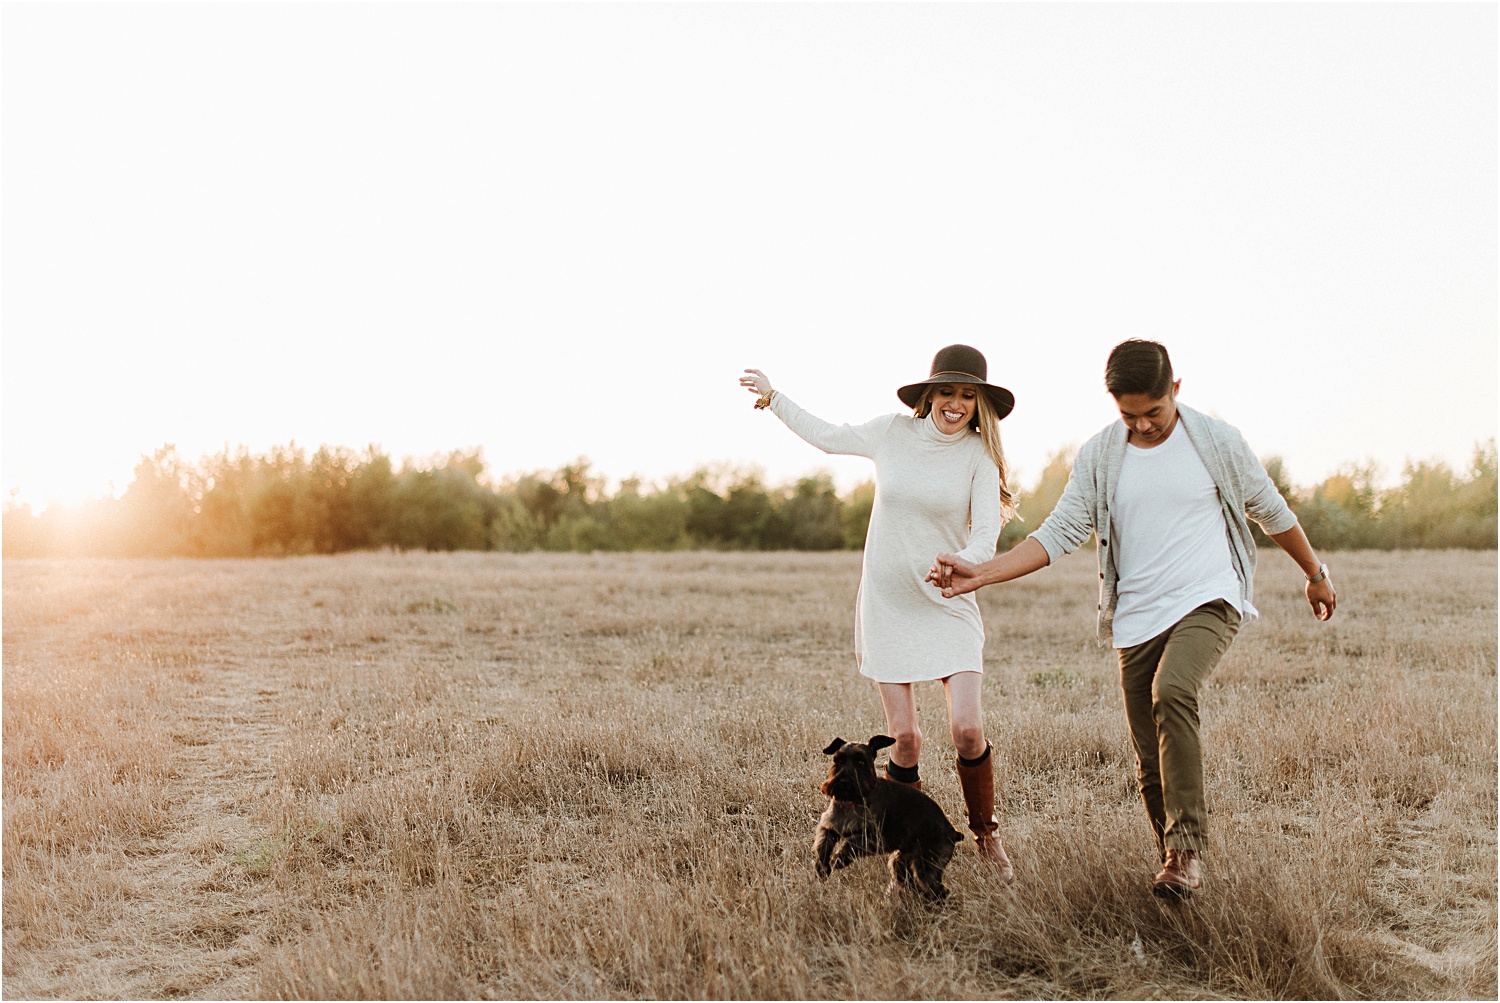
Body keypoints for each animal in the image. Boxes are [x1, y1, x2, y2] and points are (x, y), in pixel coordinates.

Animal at [816, 734, 966, 899]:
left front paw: (839, 859)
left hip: (926, 867)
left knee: (940, 891)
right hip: (901, 864)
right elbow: (822, 844)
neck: (851, 801)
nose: (843, 782)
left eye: (861, 761)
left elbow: (852, 842)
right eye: (838, 760)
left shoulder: (874, 838)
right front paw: (822, 868)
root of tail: (953, 833)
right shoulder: (829, 827)